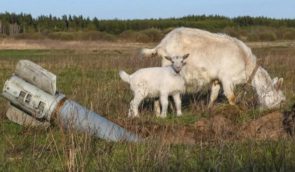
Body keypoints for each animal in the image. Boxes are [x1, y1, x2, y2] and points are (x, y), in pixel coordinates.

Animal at [142, 27, 286, 109]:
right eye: (280, 100)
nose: (279, 109)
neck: (245, 62)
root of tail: (163, 43)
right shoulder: (226, 78)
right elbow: (231, 97)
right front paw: (237, 111)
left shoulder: (217, 79)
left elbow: (214, 96)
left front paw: (208, 110)